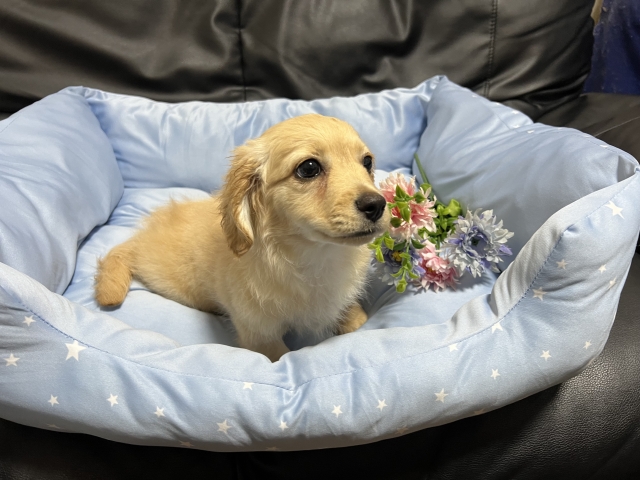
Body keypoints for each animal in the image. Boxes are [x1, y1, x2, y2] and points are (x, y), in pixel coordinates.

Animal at [94, 114, 389, 361]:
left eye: (367, 162)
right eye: (308, 168)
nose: (377, 205)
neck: (314, 256)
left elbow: (352, 317)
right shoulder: (261, 335)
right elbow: (282, 356)